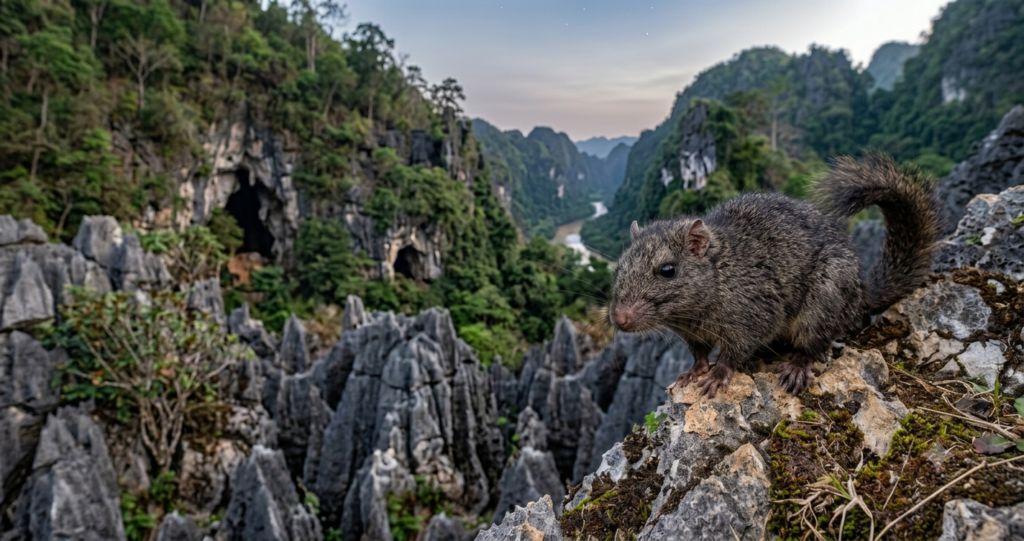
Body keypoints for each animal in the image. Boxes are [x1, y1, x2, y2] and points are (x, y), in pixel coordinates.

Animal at [608, 153, 943, 398]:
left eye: (668, 270)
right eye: (619, 267)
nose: (620, 319)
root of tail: (861, 295)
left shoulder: (754, 314)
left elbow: (734, 352)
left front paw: (718, 374)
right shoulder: (691, 334)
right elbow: (700, 353)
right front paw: (694, 371)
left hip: (824, 300)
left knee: (814, 344)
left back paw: (797, 367)